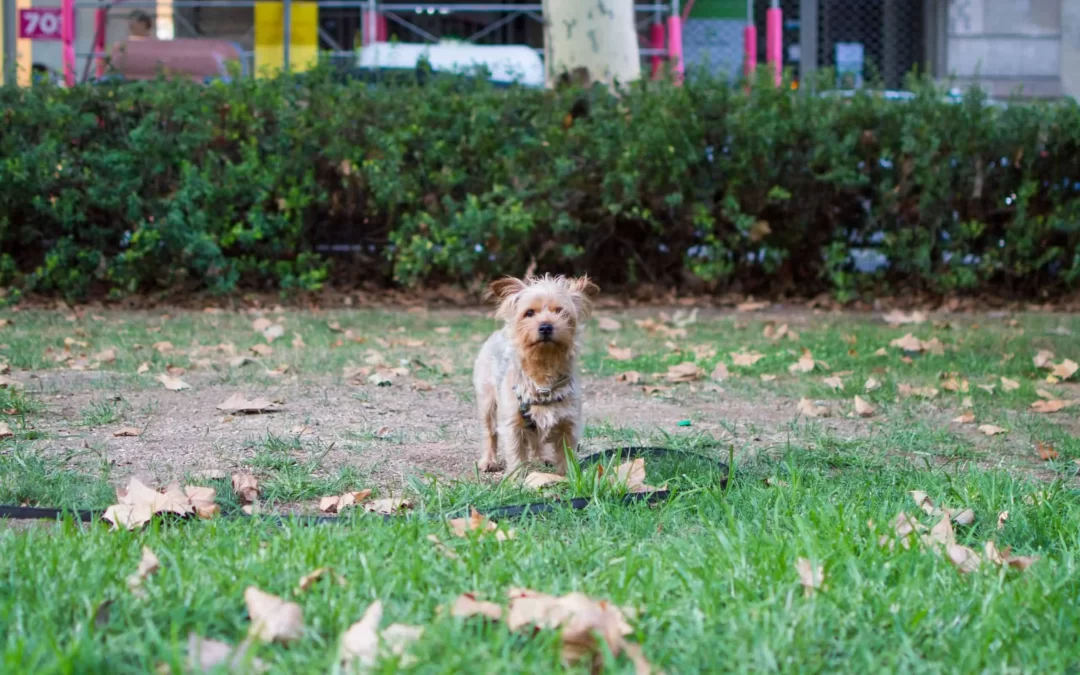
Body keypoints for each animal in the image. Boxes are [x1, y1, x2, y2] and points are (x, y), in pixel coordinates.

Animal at [473, 272, 600, 473]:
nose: (546, 326)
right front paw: (516, 478)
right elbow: (516, 454)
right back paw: (488, 461)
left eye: (561, 311)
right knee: (489, 432)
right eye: (529, 313)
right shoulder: (513, 423)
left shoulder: (569, 424)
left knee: (536, 441)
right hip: (487, 401)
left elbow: (566, 456)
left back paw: (540, 458)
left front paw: (568, 477)